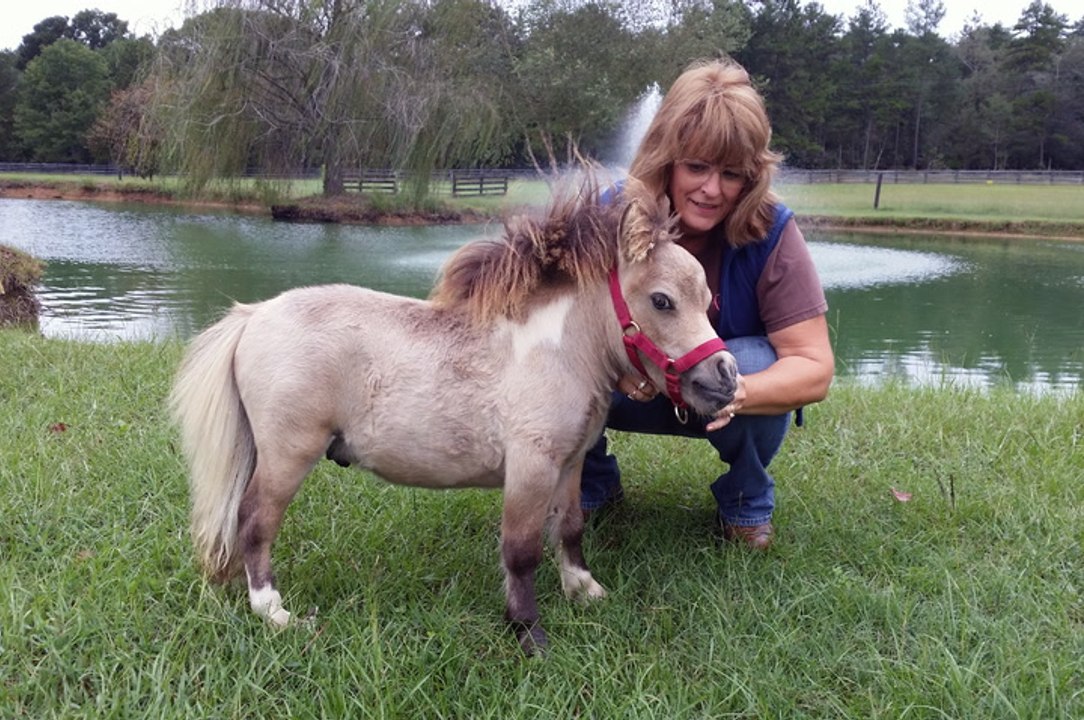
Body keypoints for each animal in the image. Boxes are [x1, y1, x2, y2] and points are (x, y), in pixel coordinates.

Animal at [169, 178, 738, 653]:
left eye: (709, 299)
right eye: (661, 300)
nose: (726, 378)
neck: (556, 351)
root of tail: (254, 316)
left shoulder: (570, 463)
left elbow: (571, 527)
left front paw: (583, 589)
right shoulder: (530, 469)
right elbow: (521, 550)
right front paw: (528, 632)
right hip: (288, 454)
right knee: (255, 521)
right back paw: (273, 611)